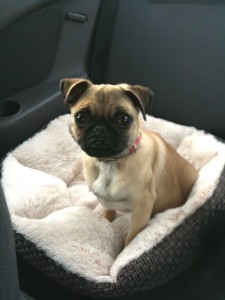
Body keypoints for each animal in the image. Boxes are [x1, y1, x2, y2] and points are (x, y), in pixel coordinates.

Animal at [60, 77, 198, 246]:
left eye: (123, 119)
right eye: (81, 118)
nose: (100, 129)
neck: (109, 162)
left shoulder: (142, 209)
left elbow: (131, 238)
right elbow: (109, 210)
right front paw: (106, 219)